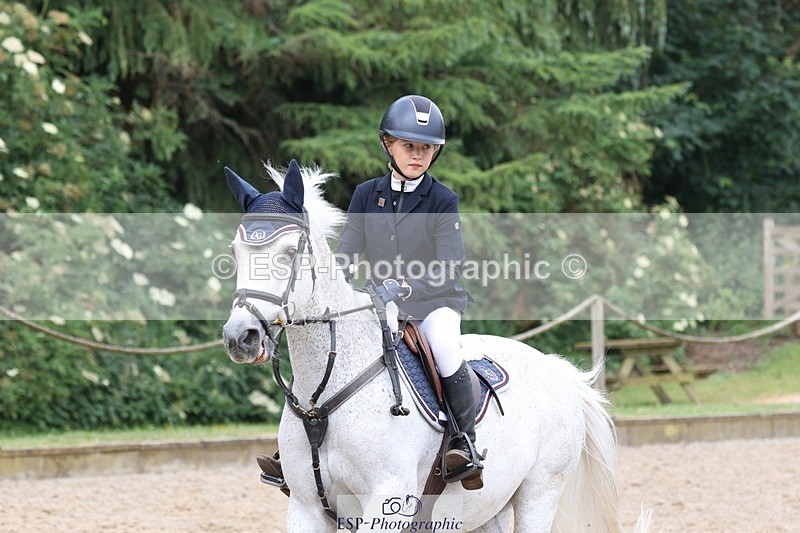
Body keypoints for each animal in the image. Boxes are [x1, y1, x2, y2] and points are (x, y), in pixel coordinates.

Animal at [221, 160, 650, 532]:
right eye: (235, 253)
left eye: (290, 253)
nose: (241, 337)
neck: (322, 397)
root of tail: (557, 369)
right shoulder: (306, 509)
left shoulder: (386, 503)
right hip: (486, 505)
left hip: (540, 494)